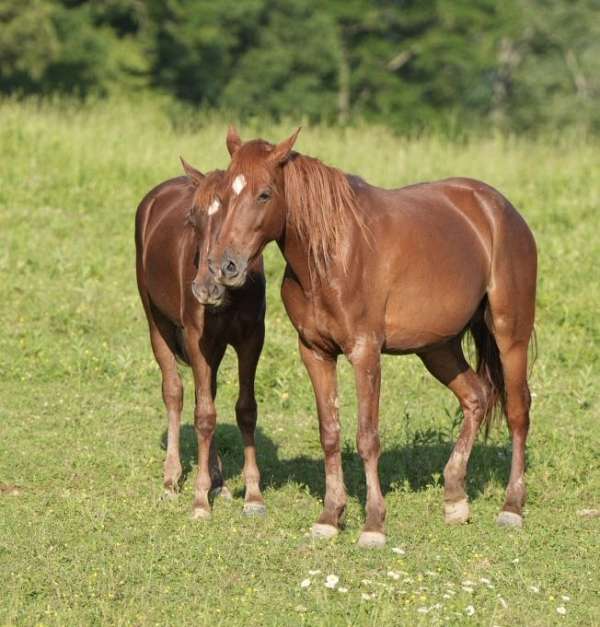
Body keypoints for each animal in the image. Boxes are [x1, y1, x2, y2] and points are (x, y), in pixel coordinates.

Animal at [137, 158, 268, 520]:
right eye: (192, 221)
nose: (204, 288)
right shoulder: (197, 340)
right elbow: (204, 416)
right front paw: (199, 500)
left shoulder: (252, 339)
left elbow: (245, 409)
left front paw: (252, 496)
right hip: (157, 324)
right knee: (175, 392)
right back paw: (172, 480)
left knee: (206, 393)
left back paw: (218, 481)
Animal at [203, 129, 540, 548]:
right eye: (224, 195)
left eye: (264, 193)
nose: (224, 265)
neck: (331, 256)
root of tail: (499, 209)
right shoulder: (315, 353)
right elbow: (330, 432)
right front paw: (330, 517)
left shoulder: (365, 353)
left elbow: (367, 437)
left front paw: (373, 524)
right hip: (438, 348)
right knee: (476, 397)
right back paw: (455, 498)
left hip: (511, 336)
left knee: (518, 411)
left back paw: (512, 507)